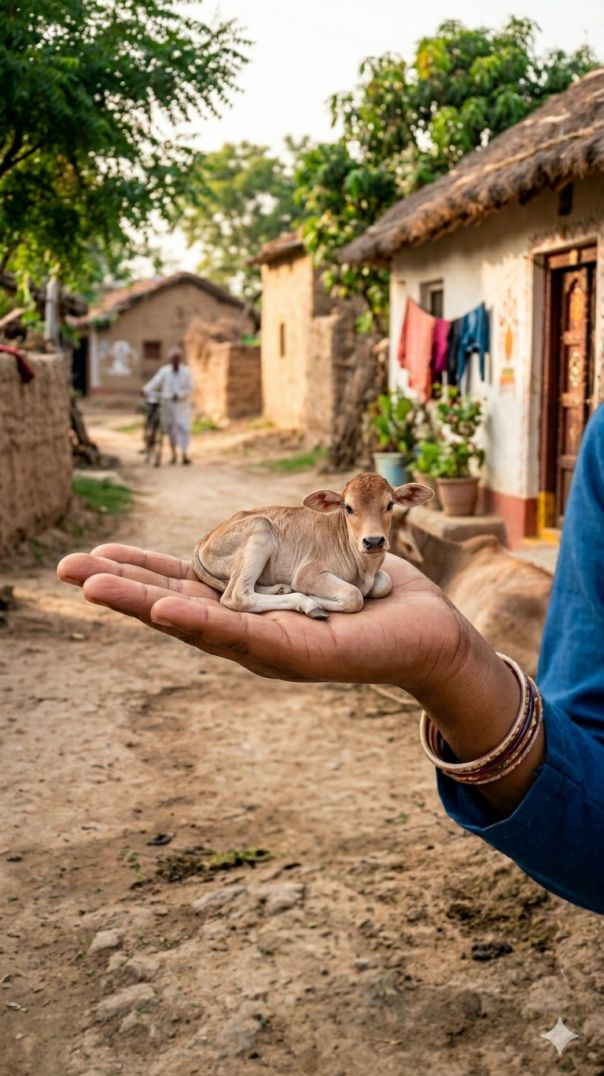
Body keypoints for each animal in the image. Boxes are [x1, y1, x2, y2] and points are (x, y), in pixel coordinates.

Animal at [192, 473, 433, 619]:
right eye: (348, 507)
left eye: (390, 504)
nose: (374, 541)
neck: (365, 567)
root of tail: (205, 538)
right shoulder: (308, 573)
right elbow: (354, 595)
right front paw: (314, 598)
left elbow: (385, 582)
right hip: (261, 528)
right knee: (237, 595)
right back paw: (308, 603)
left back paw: (280, 589)